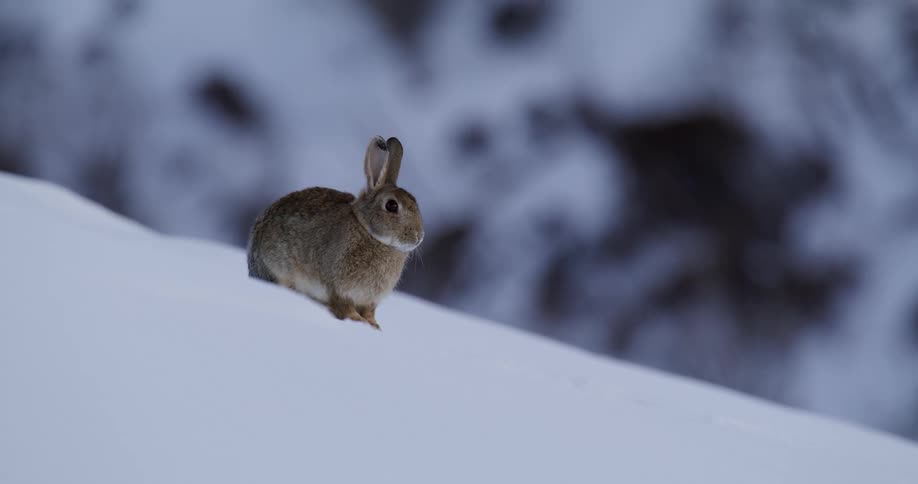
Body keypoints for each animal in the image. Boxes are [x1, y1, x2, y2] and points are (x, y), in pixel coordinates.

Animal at [247, 136, 424, 330]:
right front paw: (357, 320)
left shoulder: (369, 301)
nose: (419, 237)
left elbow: (370, 313)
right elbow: (344, 306)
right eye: (392, 205)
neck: (370, 234)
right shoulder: (339, 288)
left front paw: (374, 326)